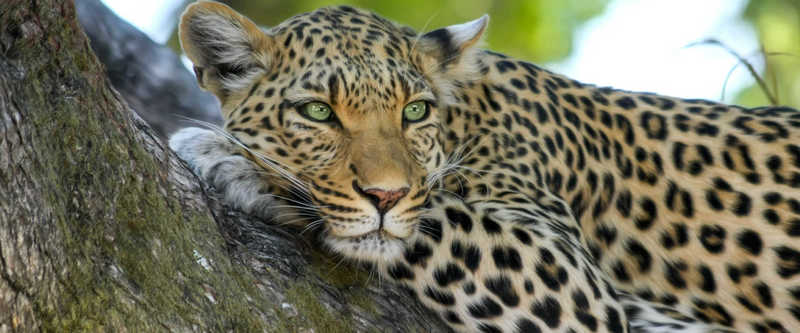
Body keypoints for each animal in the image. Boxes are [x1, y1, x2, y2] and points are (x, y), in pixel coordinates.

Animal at [166, 1, 796, 330]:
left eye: (414, 110)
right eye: (318, 111)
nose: (386, 196)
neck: (466, 120)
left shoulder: (573, 283)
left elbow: (438, 216)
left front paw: (234, 160)